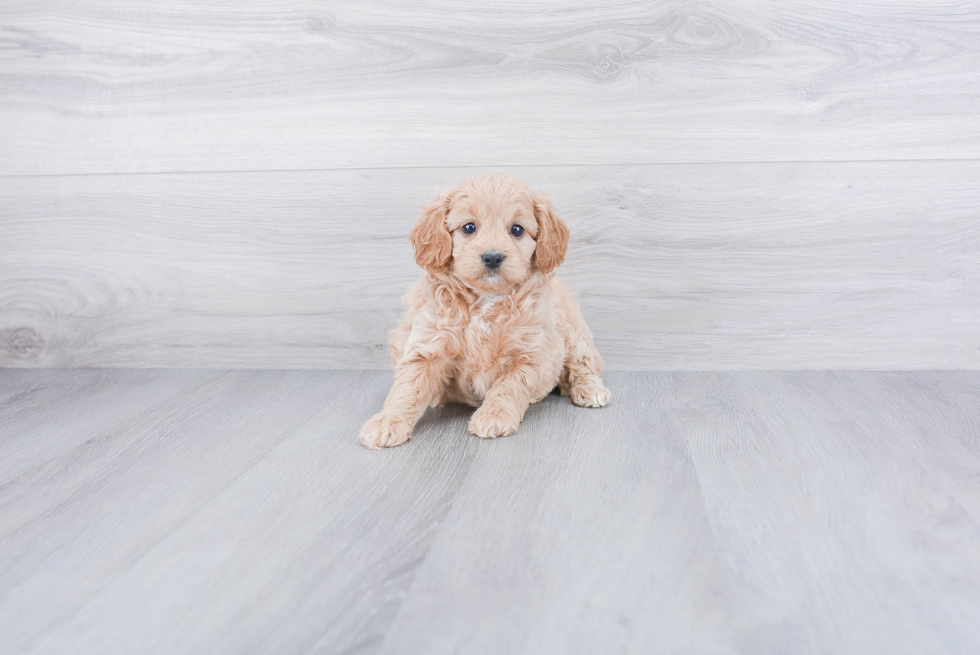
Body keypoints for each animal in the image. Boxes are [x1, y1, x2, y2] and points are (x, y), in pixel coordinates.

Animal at [360, 173, 608, 452]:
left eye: (517, 229)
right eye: (468, 227)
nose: (492, 257)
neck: (487, 298)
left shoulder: (528, 352)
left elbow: (508, 386)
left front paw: (494, 416)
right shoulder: (429, 346)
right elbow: (408, 388)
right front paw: (388, 422)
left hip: (575, 332)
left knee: (583, 365)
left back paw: (590, 389)